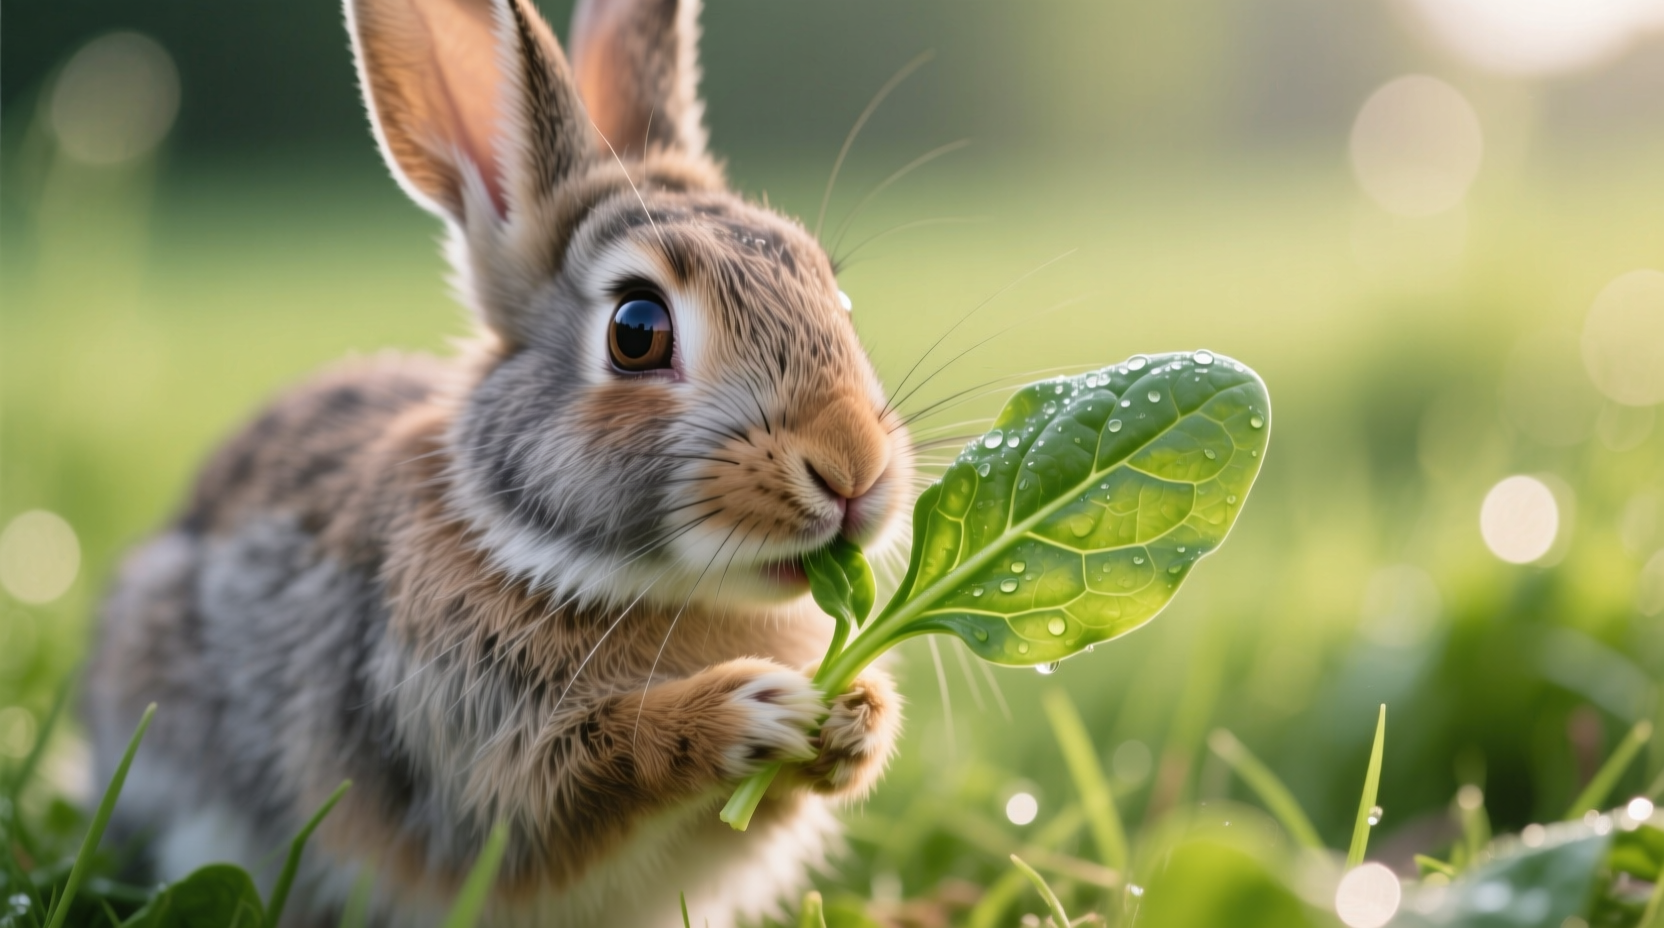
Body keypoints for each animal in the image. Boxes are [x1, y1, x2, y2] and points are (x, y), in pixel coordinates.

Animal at [85, 0, 913, 924]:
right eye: (636, 330)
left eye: (835, 295)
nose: (854, 469)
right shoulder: (456, 749)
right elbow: (564, 785)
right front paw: (745, 712)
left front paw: (858, 717)